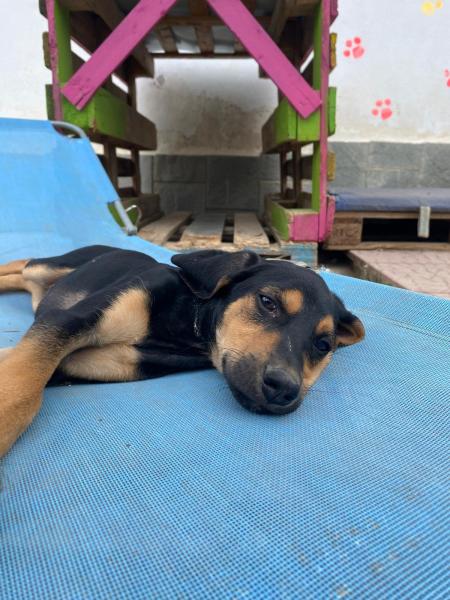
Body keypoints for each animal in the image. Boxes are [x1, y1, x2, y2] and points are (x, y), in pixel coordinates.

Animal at [0, 246, 364, 456]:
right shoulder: (66, 321)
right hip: (52, 267)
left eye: (323, 345)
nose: (284, 389)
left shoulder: (111, 361)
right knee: (23, 264)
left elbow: (24, 373)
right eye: (267, 302)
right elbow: (23, 389)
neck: (189, 318)